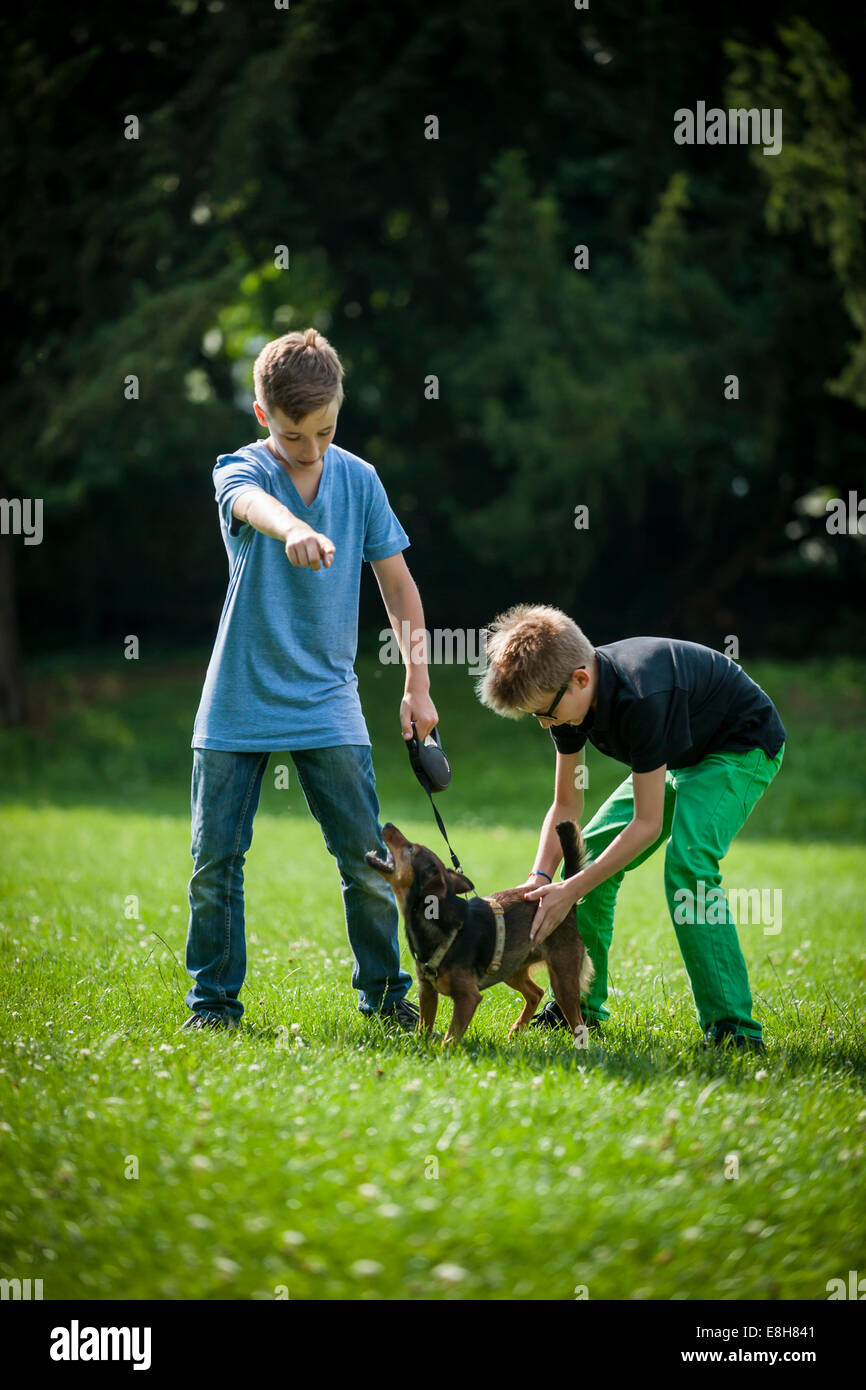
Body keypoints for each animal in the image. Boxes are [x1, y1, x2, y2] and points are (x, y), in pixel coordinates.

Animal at [366, 817, 594, 1039]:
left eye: (410, 848)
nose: (388, 824)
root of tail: (566, 899)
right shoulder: (427, 992)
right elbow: (424, 1029)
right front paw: (422, 1048)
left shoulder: (467, 998)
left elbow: (450, 1038)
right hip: (510, 967)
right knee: (536, 992)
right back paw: (517, 1029)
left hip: (563, 980)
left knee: (577, 1022)